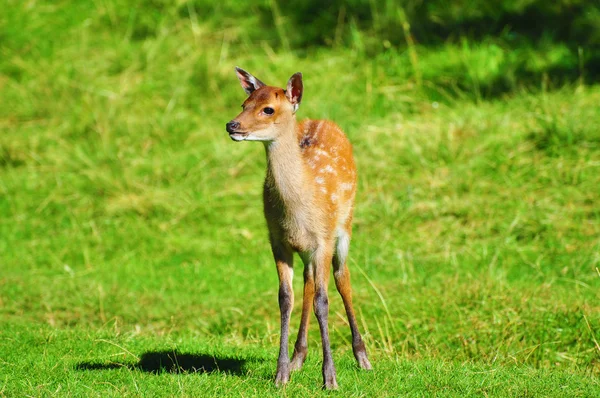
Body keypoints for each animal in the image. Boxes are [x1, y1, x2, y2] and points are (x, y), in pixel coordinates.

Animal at [226, 67, 370, 388]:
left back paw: (362, 356)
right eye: (244, 104)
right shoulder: (278, 240)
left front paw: (330, 377)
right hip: (306, 249)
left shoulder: (323, 239)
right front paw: (281, 374)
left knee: (342, 277)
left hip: (346, 224)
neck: (297, 211)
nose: (232, 124)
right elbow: (285, 298)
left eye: (268, 109)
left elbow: (323, 301)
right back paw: (297, 358)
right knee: (308, 281)